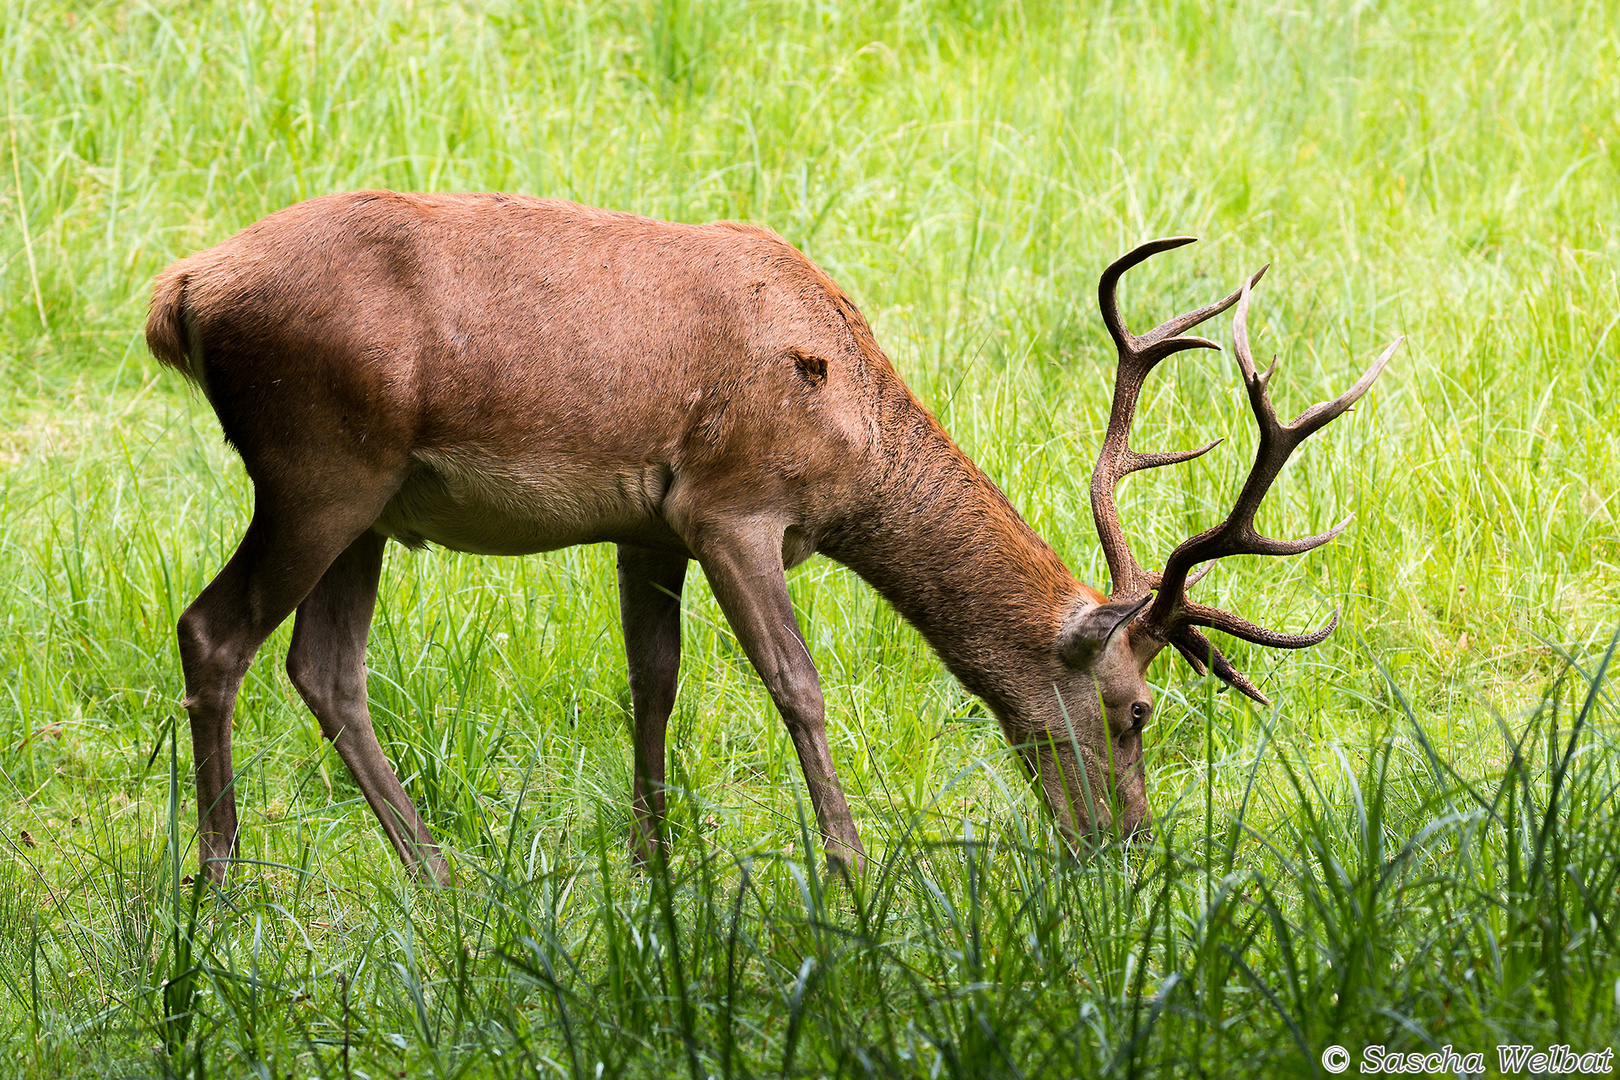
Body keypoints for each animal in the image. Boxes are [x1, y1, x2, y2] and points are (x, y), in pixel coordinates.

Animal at [145, 191, 1399, 887]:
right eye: (1138, 712)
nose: (1127, 846)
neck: (853, 436)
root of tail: (179, 294)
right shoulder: (733, 506)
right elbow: (796, 685)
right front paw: (847, 865)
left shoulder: (645, 524)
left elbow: (651, 683)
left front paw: (654, 866)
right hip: (316, 468)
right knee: (214, 632)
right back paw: (220, 878)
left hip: (366, 505)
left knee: (325, 668)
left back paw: (439, 877)